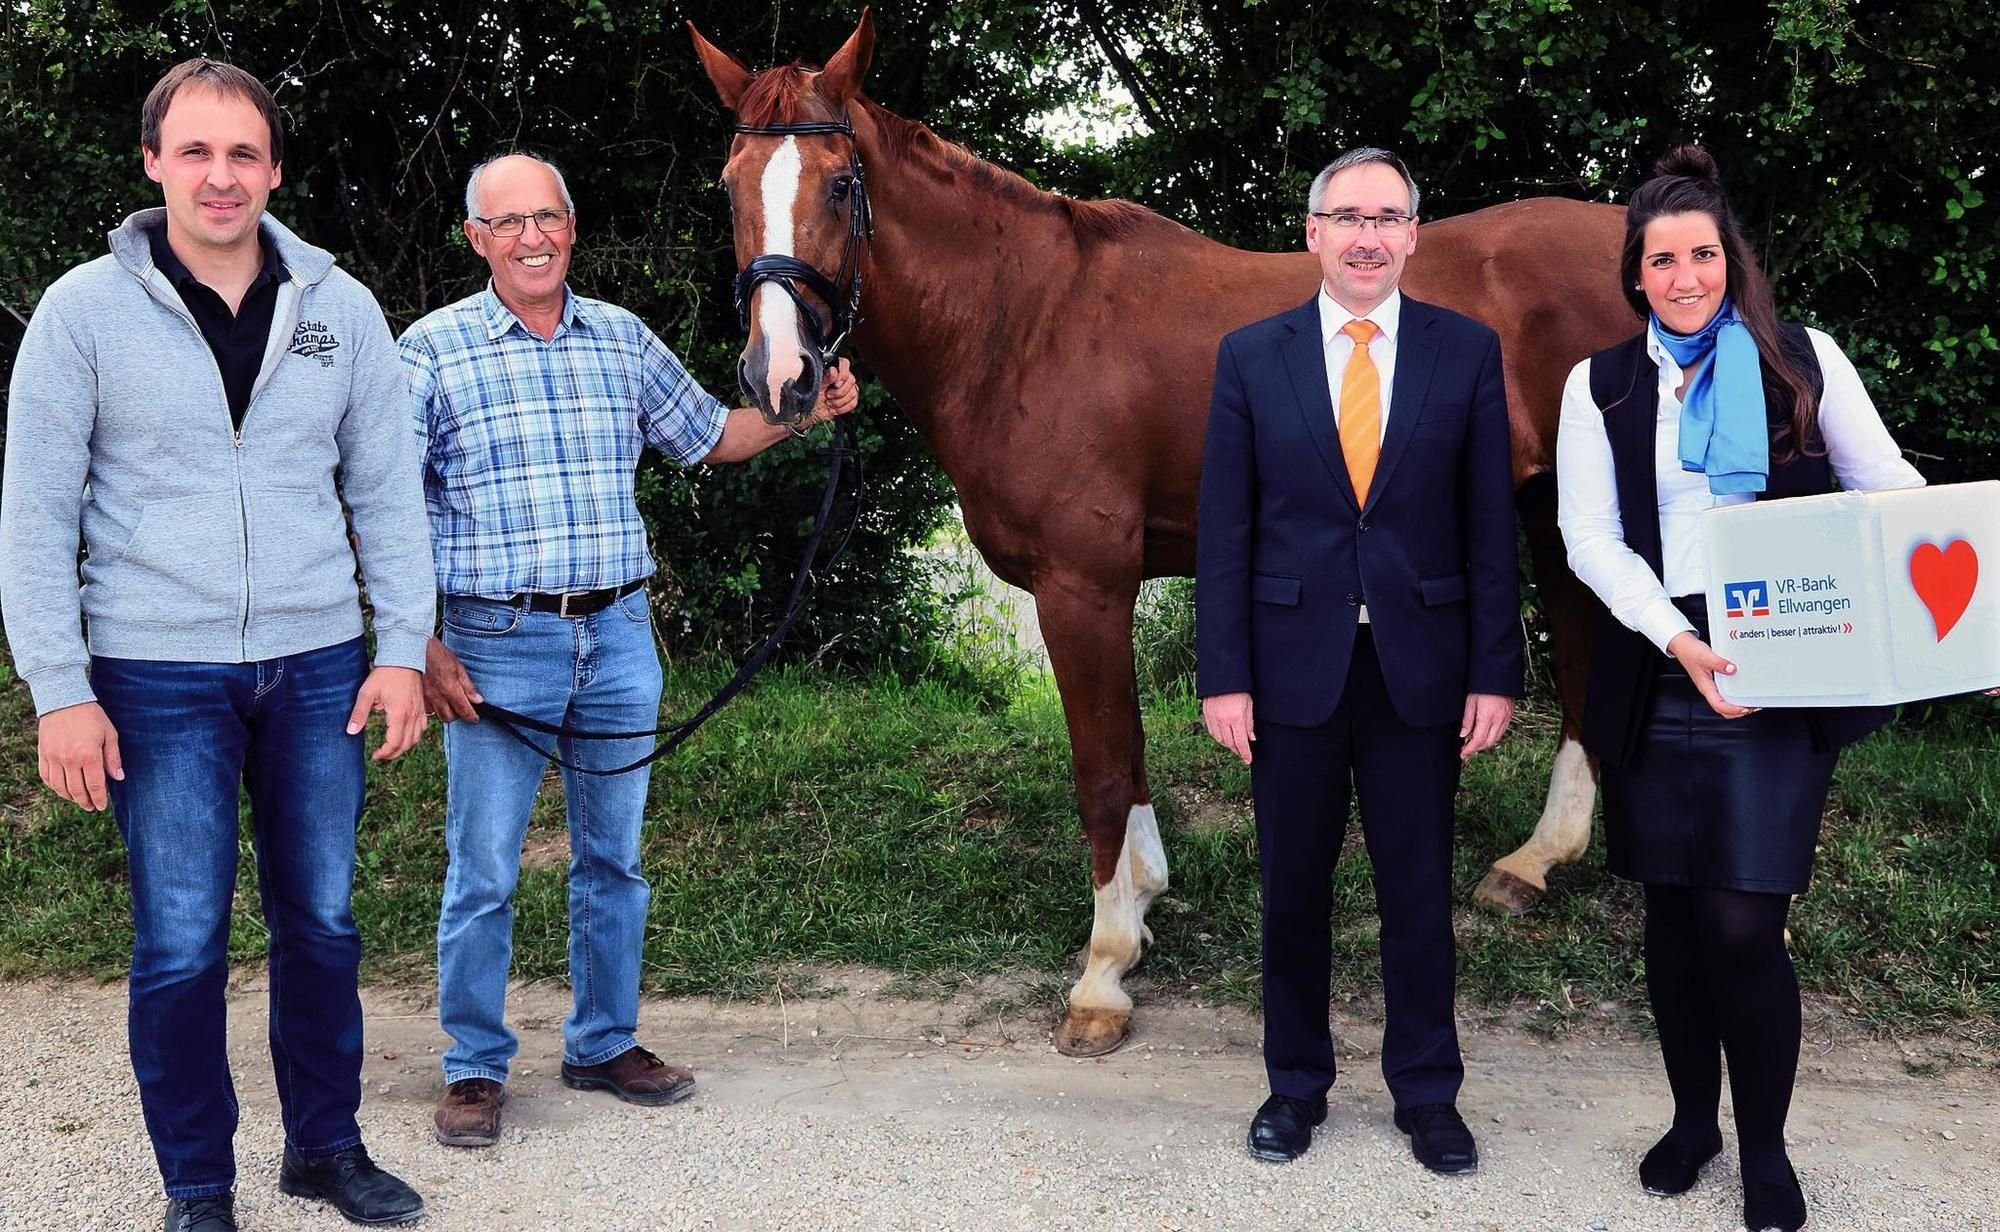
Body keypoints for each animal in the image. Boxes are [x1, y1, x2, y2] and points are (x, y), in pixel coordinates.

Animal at [696, 9, 1632, 1056]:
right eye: (729, 187)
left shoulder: (1082, 588)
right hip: (1549, 511)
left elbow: (1102, 772)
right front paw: (1142, 906)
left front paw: (1102, 975)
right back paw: (1535, 862)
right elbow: (1129, 758)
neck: (1023, 321)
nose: (781, 377)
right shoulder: (1100, 591)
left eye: (841, 185)